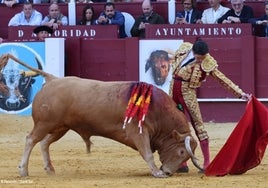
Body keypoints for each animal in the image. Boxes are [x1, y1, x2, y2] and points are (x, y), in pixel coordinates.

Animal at [4, 54, 202, 178]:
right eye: (181, 151)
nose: (168, 172)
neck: (158, 110)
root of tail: (52, 79)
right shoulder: (138, 132)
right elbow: (147, 154)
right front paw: (156, 172)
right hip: (45, 123)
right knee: (31, 139)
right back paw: (23, 171)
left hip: (61, 127)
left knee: (44, 143)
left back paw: (50, 169)